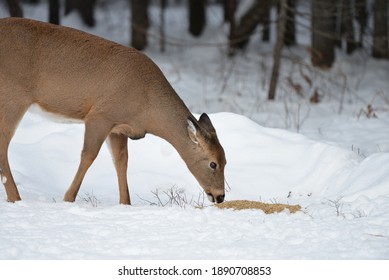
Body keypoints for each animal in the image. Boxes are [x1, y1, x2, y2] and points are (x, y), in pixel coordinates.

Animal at [0, 18, 226, 205]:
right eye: (213, 164)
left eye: (226, 160)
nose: (220, 196)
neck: (147, 107)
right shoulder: (100, 115)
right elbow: (89, 156)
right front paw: (68, 198)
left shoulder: (119, 128)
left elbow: (121, 162)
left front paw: (125, 203)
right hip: (13, 96)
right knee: (4, 142)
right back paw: (15, 197)